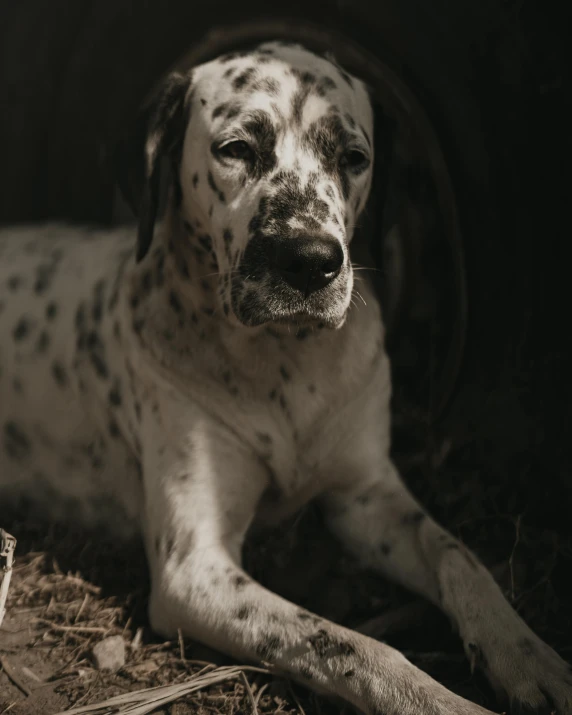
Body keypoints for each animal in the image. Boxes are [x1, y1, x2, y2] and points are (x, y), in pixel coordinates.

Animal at [1, 42, 572, 712]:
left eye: (352, 157)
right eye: (235, 148)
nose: (311, 262)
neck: (286, 365)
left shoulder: (366, 498)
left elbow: (461, 558)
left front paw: (530, 655)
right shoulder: (195, 570)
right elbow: (346, 642)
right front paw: (440, 699)